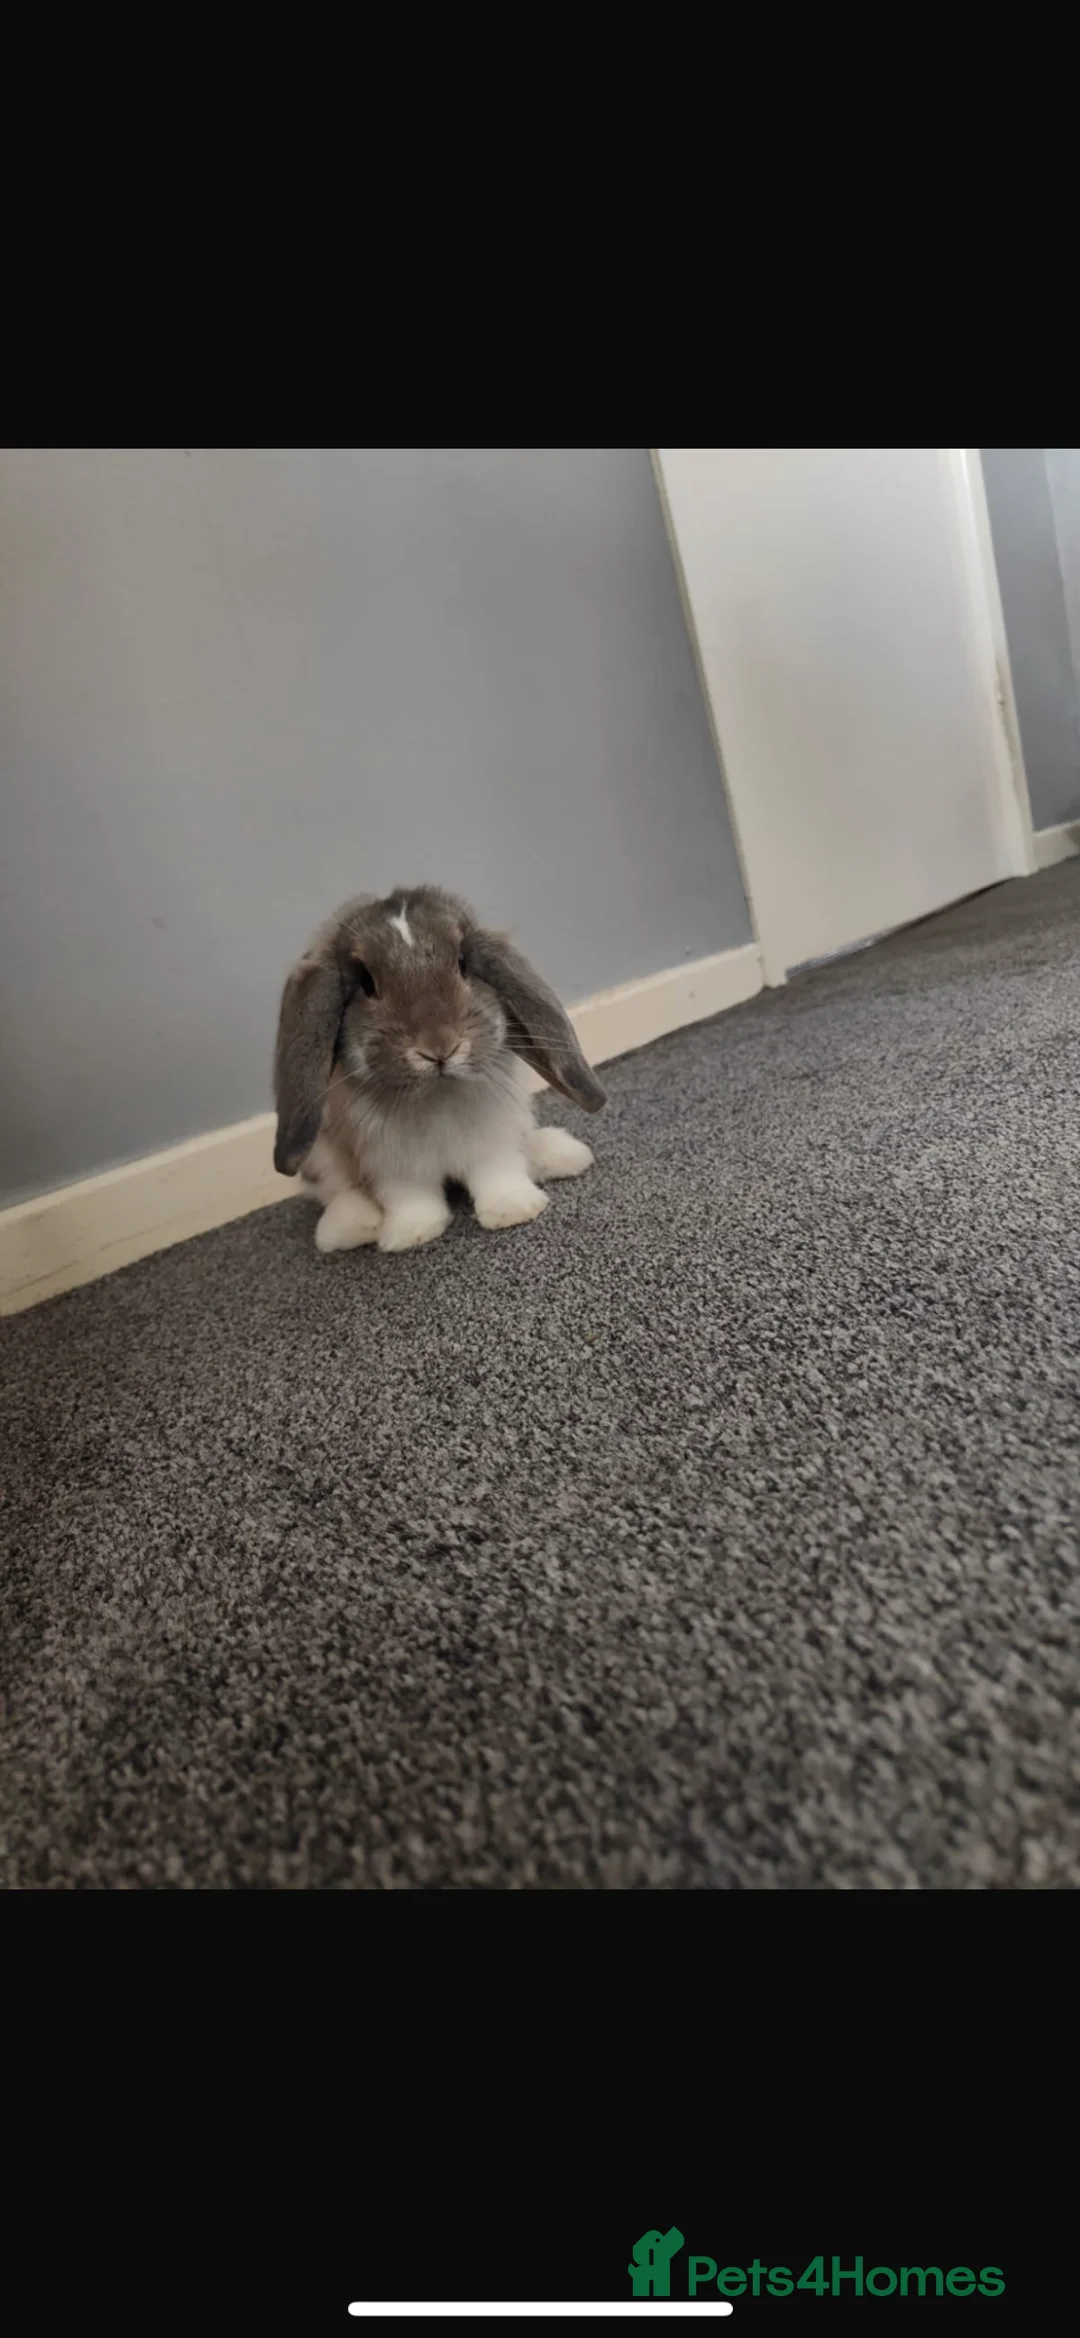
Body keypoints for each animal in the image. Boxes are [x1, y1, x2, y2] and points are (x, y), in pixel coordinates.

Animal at [273, 885, 607, 1254]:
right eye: (366, 982)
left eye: (462, 963)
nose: (439, 1048)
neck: (438, 1093)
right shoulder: (392, 1163)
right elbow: (411, 1199)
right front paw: (411, 1234)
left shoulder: (494, 1138)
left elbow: (498, 1173)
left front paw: (513, 1209)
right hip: (321, 1154)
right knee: (339, 1190)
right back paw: (349, 1228)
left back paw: (567, 1154)